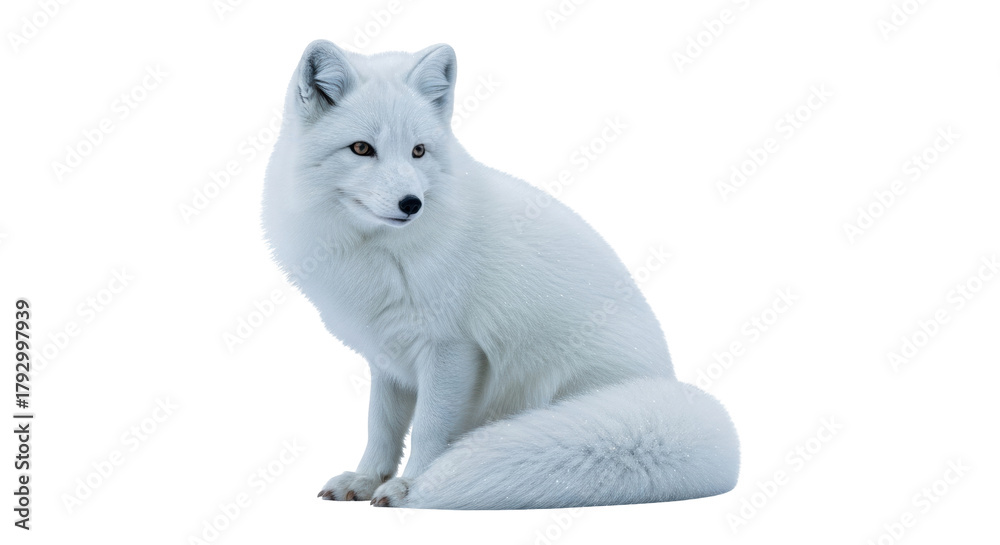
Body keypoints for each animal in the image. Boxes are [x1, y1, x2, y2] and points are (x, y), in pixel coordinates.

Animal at [261, 40, 740, 509]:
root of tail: (665, 384)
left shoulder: (452, 349)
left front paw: (413, 485)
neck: (380, 253)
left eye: (418, 151)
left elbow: (429, 428)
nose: (412, 204)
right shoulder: (388, 354)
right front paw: (365, 479)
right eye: (361, 149)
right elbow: (381, 425)